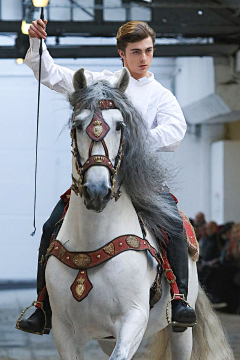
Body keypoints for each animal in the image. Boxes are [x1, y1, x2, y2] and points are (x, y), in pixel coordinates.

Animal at [45, 68, 234, 360]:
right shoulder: (63, 330)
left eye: (120, 126)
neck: (91, 240)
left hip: (181, 331)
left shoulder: (133, 318)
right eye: (77, 125)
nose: (97, 191)